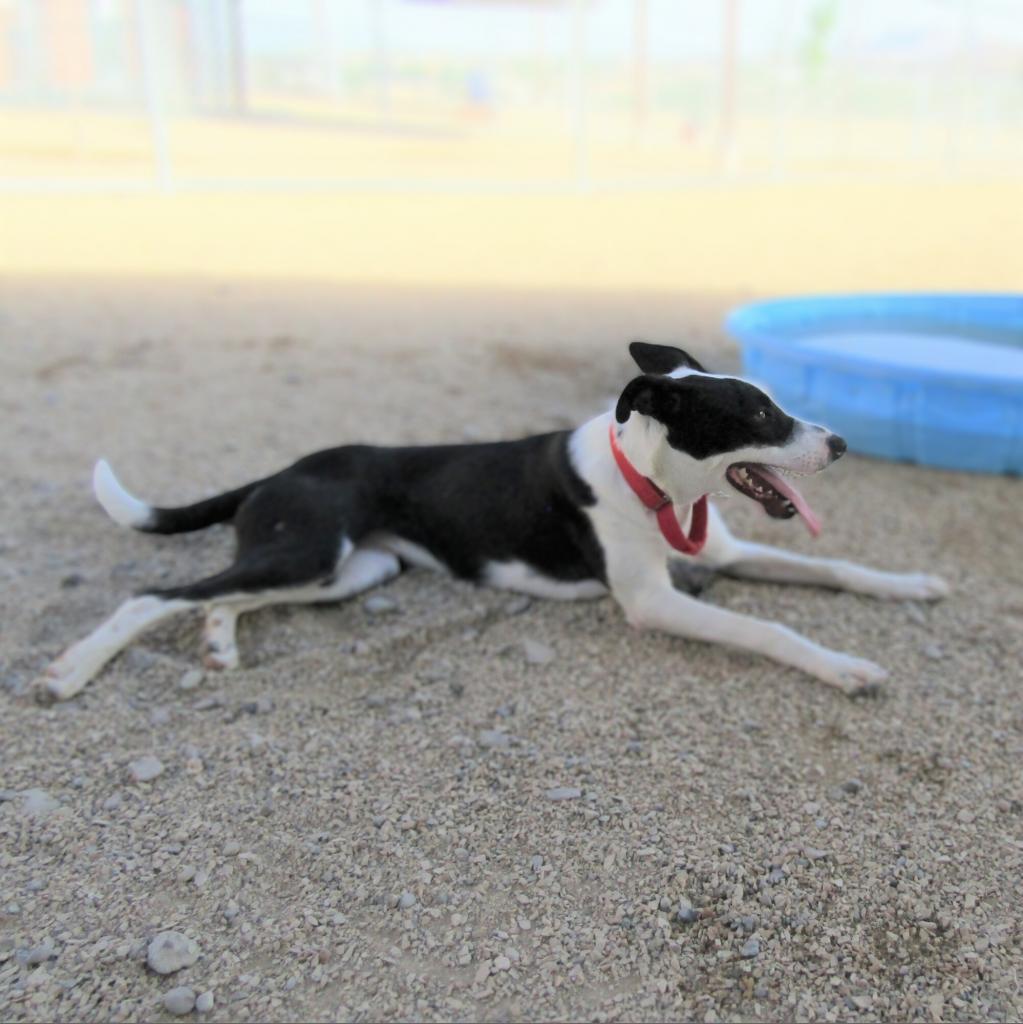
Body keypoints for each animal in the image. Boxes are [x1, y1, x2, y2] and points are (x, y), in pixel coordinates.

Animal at [34, 344, 950, 704]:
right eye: (756, 414)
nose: (839, 442)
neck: (652, 483)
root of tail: (276, 473)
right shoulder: (653, 602)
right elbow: (772, 632)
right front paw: (842, 667)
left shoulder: (724, 552)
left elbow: (838, 569)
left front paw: (911, 583)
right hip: (311, 554)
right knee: (155, 596)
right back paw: (71, 671)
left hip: (347, 571)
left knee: (221, 596)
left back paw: (220, 643)